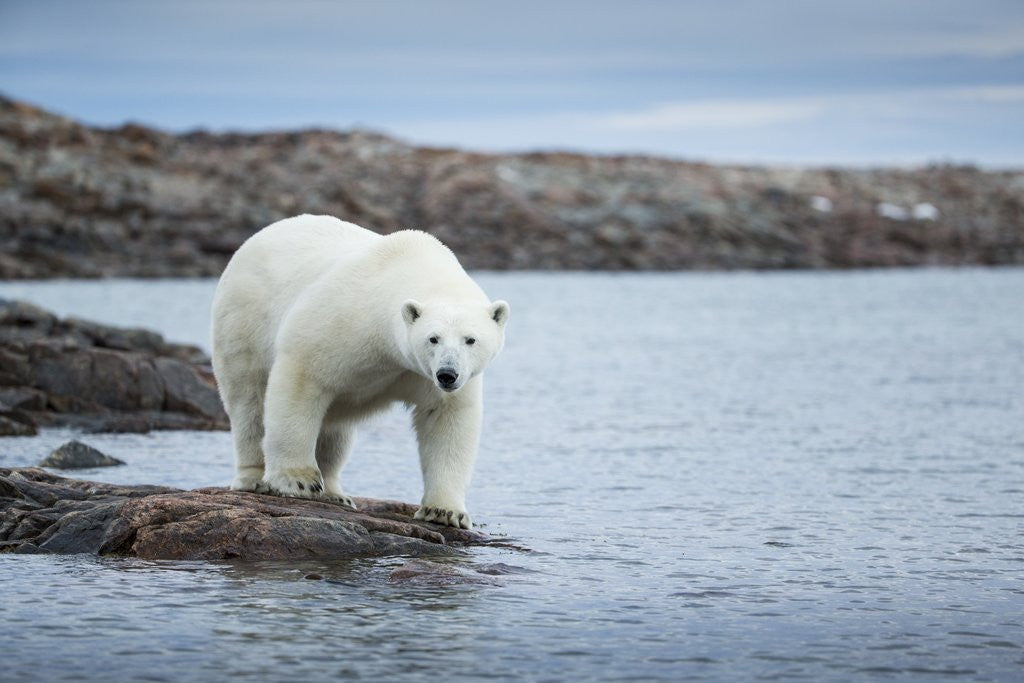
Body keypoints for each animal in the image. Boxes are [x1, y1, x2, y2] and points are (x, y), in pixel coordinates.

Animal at [210, 215, 509, 529]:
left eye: (470, 339)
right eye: (433, 338)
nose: (447, 374)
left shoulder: (423, 375)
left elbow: (446, 417)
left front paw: (445, 512)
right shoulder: (341, 319)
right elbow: (302, 381)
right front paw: (297, 480)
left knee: (335, 430)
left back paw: (334, 493)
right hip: (243, 319)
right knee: (249, 401)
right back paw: (255, 478)